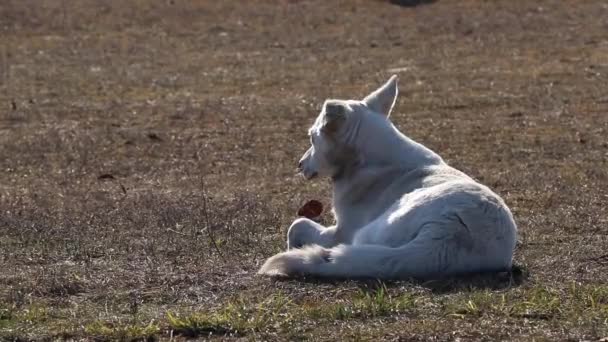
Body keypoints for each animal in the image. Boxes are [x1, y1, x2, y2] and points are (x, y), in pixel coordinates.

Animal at [258, 75, 516, 280]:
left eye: (312, 138)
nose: (299, 165)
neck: (367, 158)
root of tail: (448, 233)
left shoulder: (341, 232)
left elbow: (296, 225)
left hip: (366, 234)